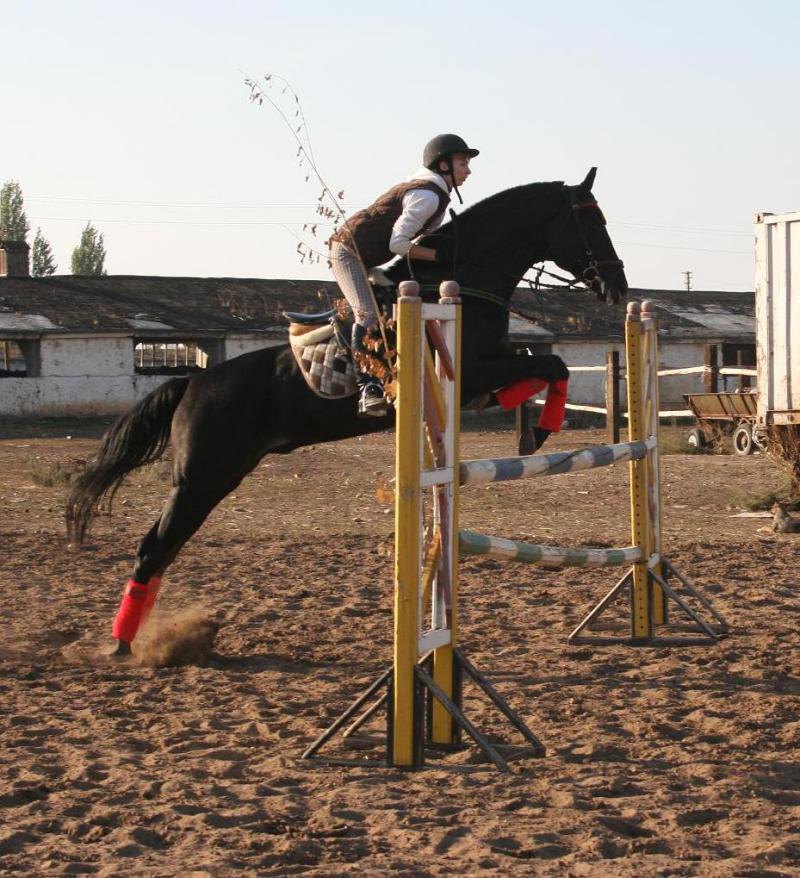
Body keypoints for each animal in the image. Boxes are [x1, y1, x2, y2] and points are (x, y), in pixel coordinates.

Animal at [69, 168, 628, 648]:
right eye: (592, 220)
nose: (618, 287)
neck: (461, 281)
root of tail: (193, 381)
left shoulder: (486, 375)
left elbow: (546, 365)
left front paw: (536, 433)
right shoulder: (470, 373)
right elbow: (550, 362)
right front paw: (539, 433)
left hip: (212, 476)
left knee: (163, 550)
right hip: (202, 476)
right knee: (153, 548)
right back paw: (124, 646)